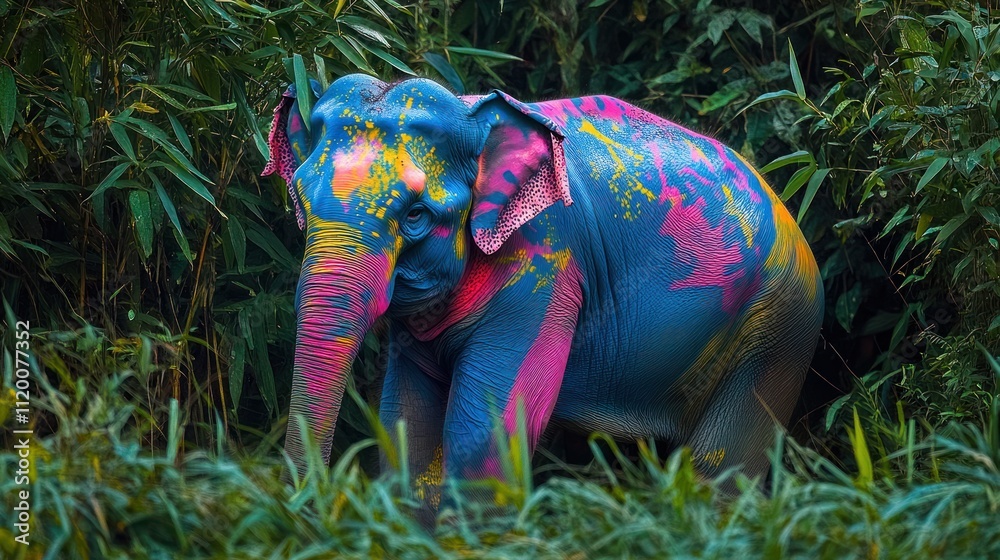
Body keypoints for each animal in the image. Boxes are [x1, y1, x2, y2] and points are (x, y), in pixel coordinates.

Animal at [262, 74, 823, 497]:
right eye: (302, 201)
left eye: (416, 216)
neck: (473, 112)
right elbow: (407, 421)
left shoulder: (546, 269)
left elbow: (483, 437)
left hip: (777, 330)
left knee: (719, 472)